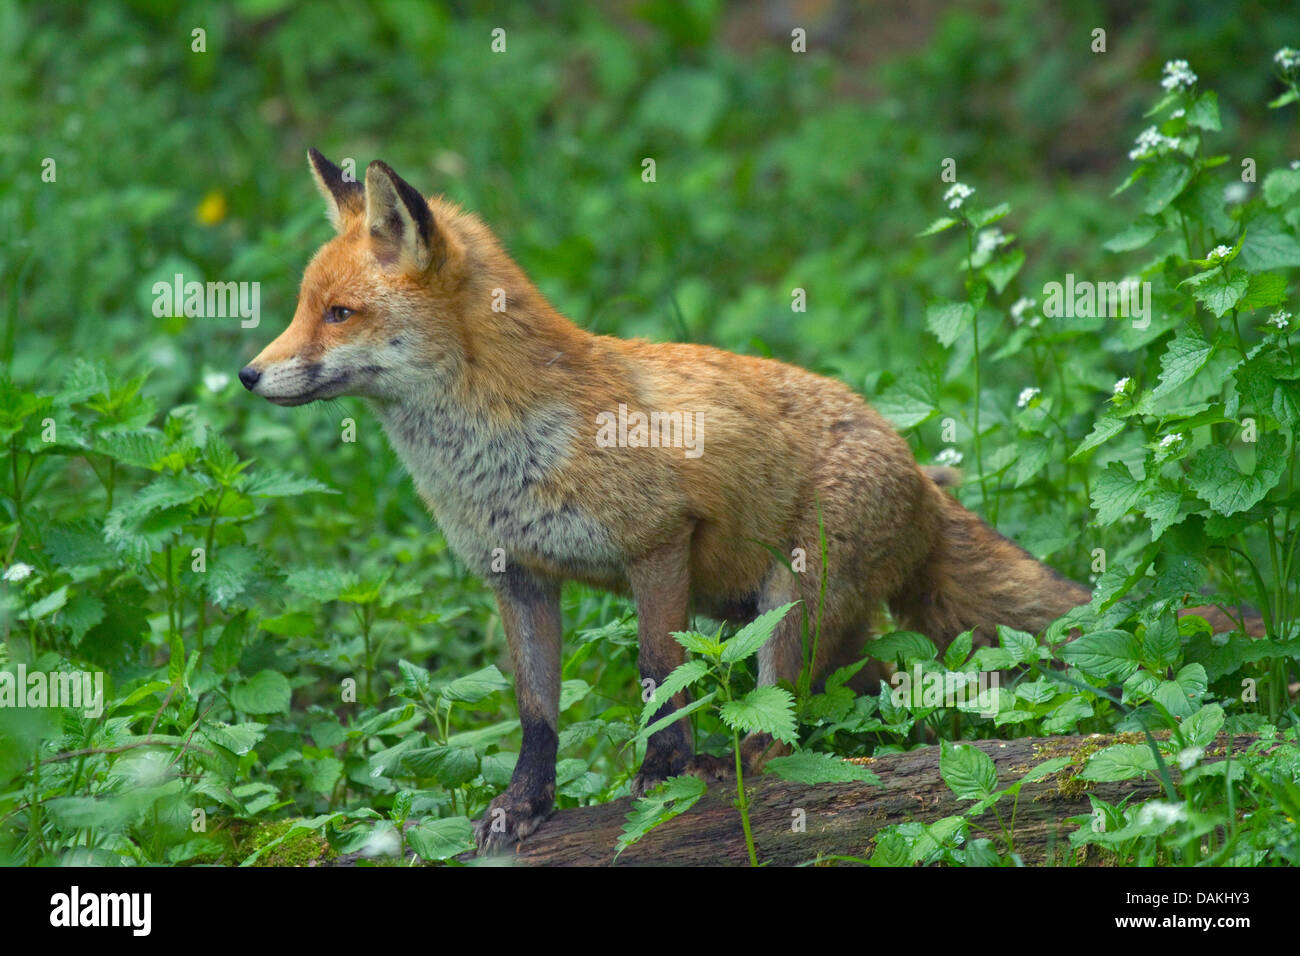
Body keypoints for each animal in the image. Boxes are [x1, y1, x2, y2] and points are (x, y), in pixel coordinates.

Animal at [239, 153, 1253, 858]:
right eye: (301, 307)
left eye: (338, 314)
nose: (248, 375)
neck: (502, 447)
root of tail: (924, 476)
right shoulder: (518, 574)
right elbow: (536, 713)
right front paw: (523, 808)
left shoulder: (656, 544)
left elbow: (658, 680)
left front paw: (658, 786)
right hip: (776, 616)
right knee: (869, 700)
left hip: (788, 605)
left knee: (794, 719)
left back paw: (749, 769)